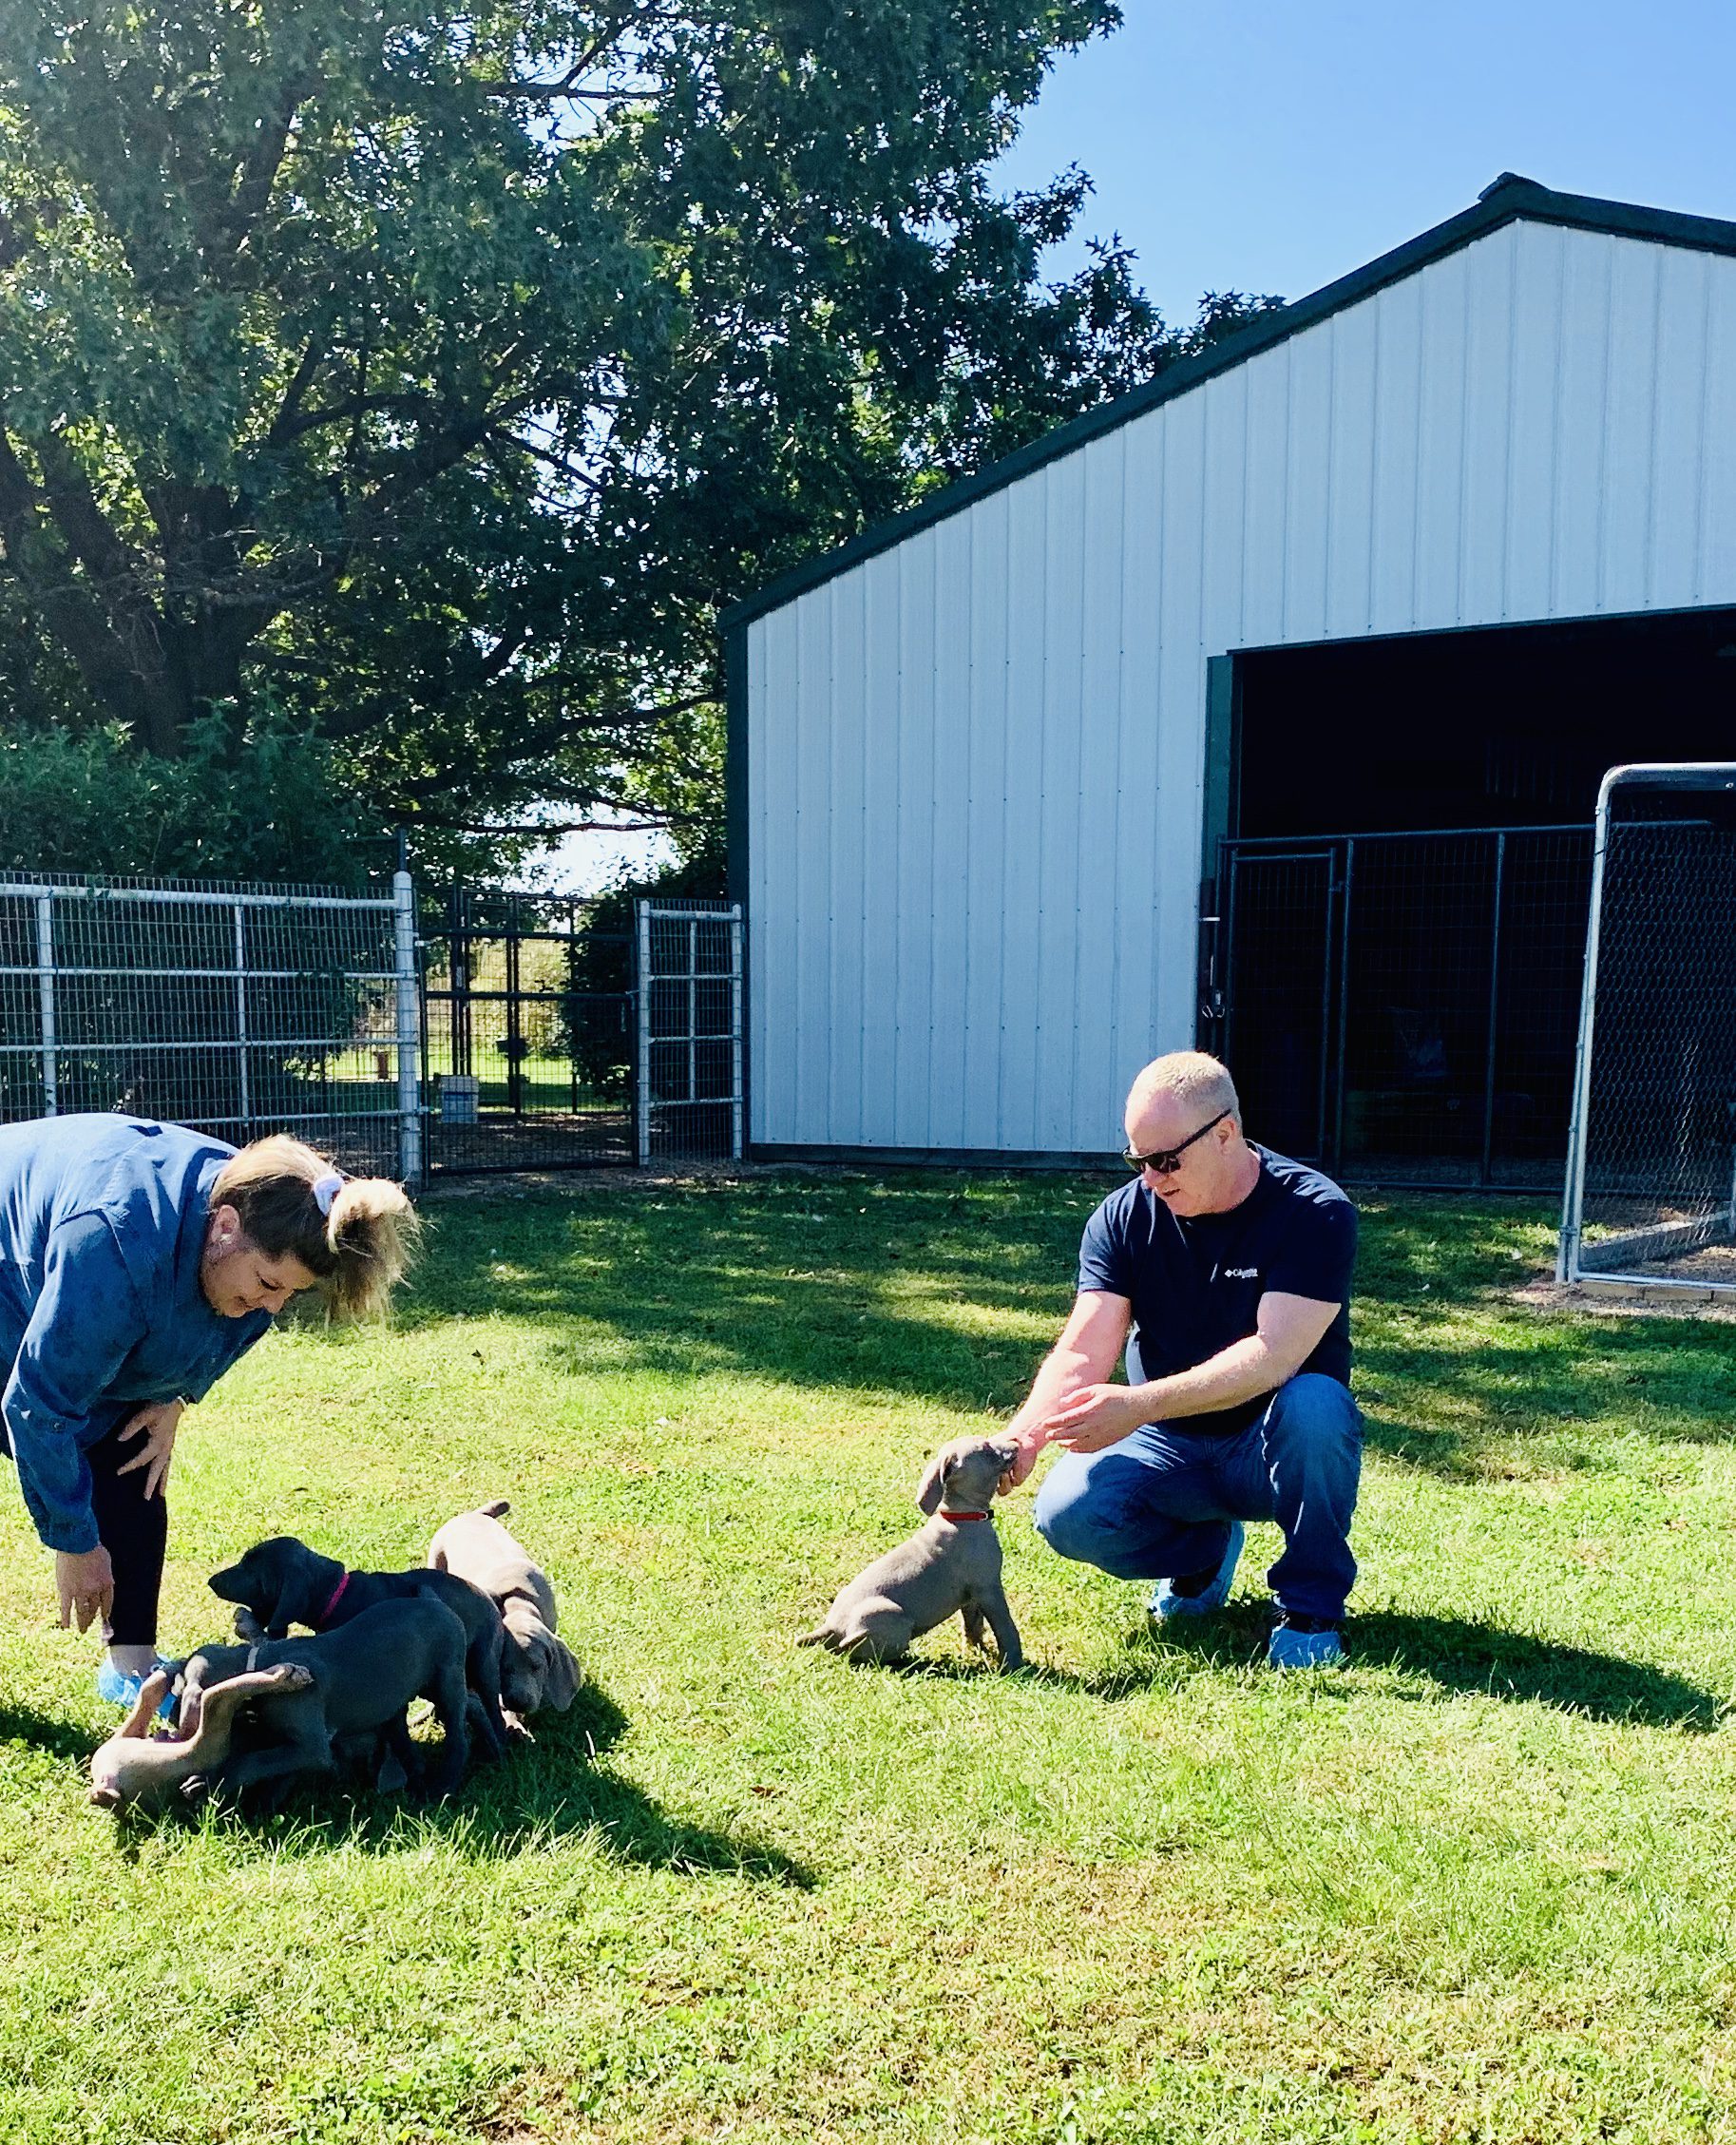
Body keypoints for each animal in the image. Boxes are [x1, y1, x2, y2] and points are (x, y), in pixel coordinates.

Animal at [422, 1501, 579, 1715]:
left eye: (537, 1667)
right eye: (502, 1669)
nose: (518, 1703)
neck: (516, 1602)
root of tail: (472, 1514)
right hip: (436, 1557)